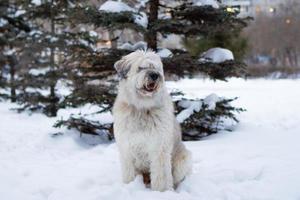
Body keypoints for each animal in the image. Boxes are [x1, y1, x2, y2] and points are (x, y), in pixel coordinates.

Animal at [112, 49, 192, 191]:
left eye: (155, 68)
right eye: (140, 68)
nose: (154, 75)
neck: (142, 108)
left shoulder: (159, 148)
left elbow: (161, 176)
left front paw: (162, 192)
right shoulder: (126, 148)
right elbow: (128, 173)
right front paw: (129, 186)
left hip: (183, 160)